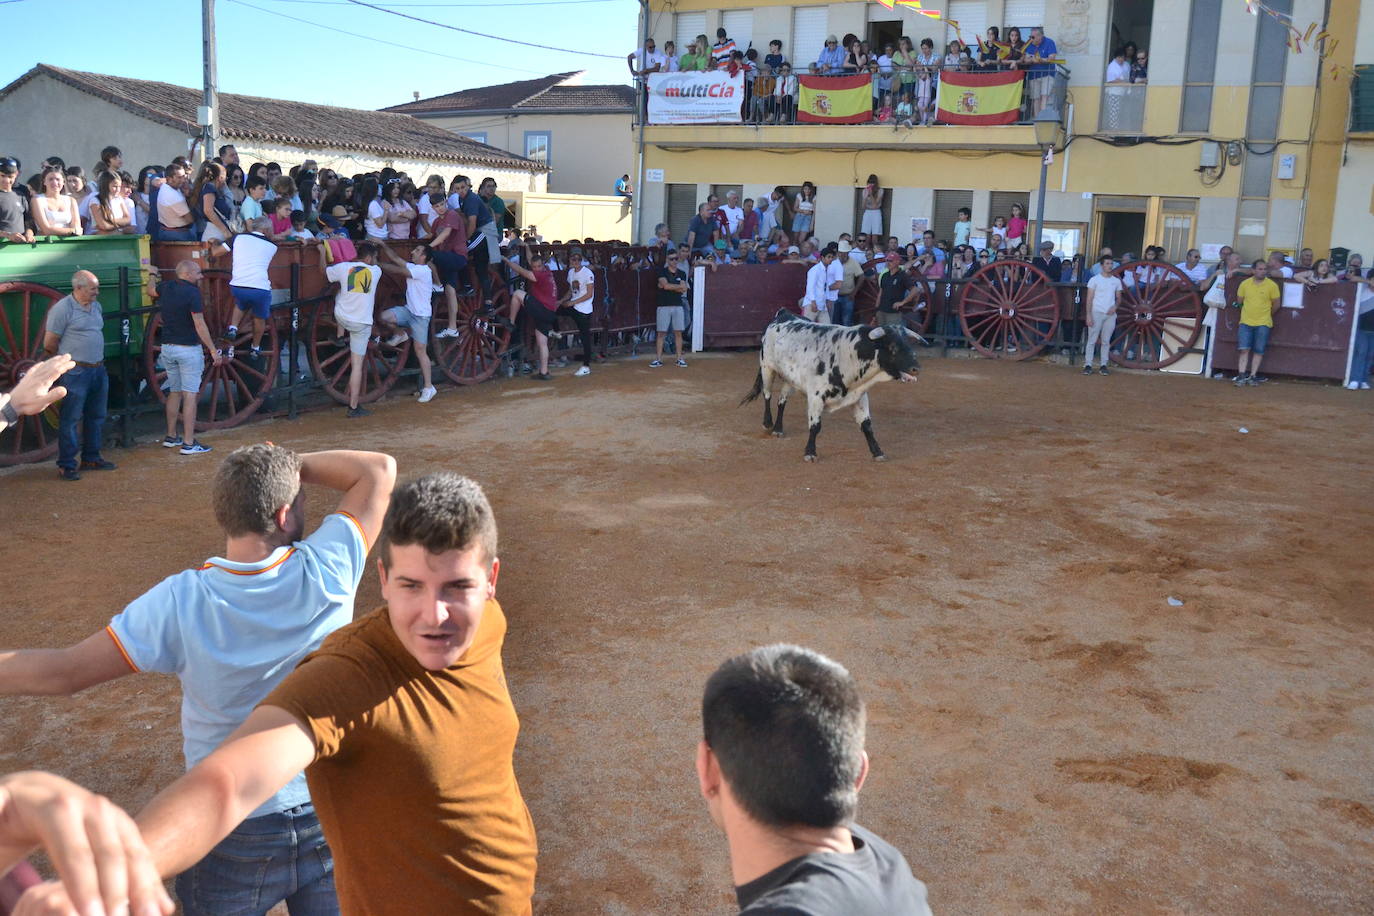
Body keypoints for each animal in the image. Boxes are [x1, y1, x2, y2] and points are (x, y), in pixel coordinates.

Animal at [741, 311, 923, 461]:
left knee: (782, 401)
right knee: (767, 394)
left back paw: (778, 428)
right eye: (893, 346)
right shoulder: (815, 397)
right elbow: (815, 426)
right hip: (767, 368)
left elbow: (867, 426)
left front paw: (877, 452)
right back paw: (768, 423)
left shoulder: (860, 396)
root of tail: (783, 314)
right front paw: (810, 452)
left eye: (908, 344)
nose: (916, 368)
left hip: (789, 379)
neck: (848, 354)